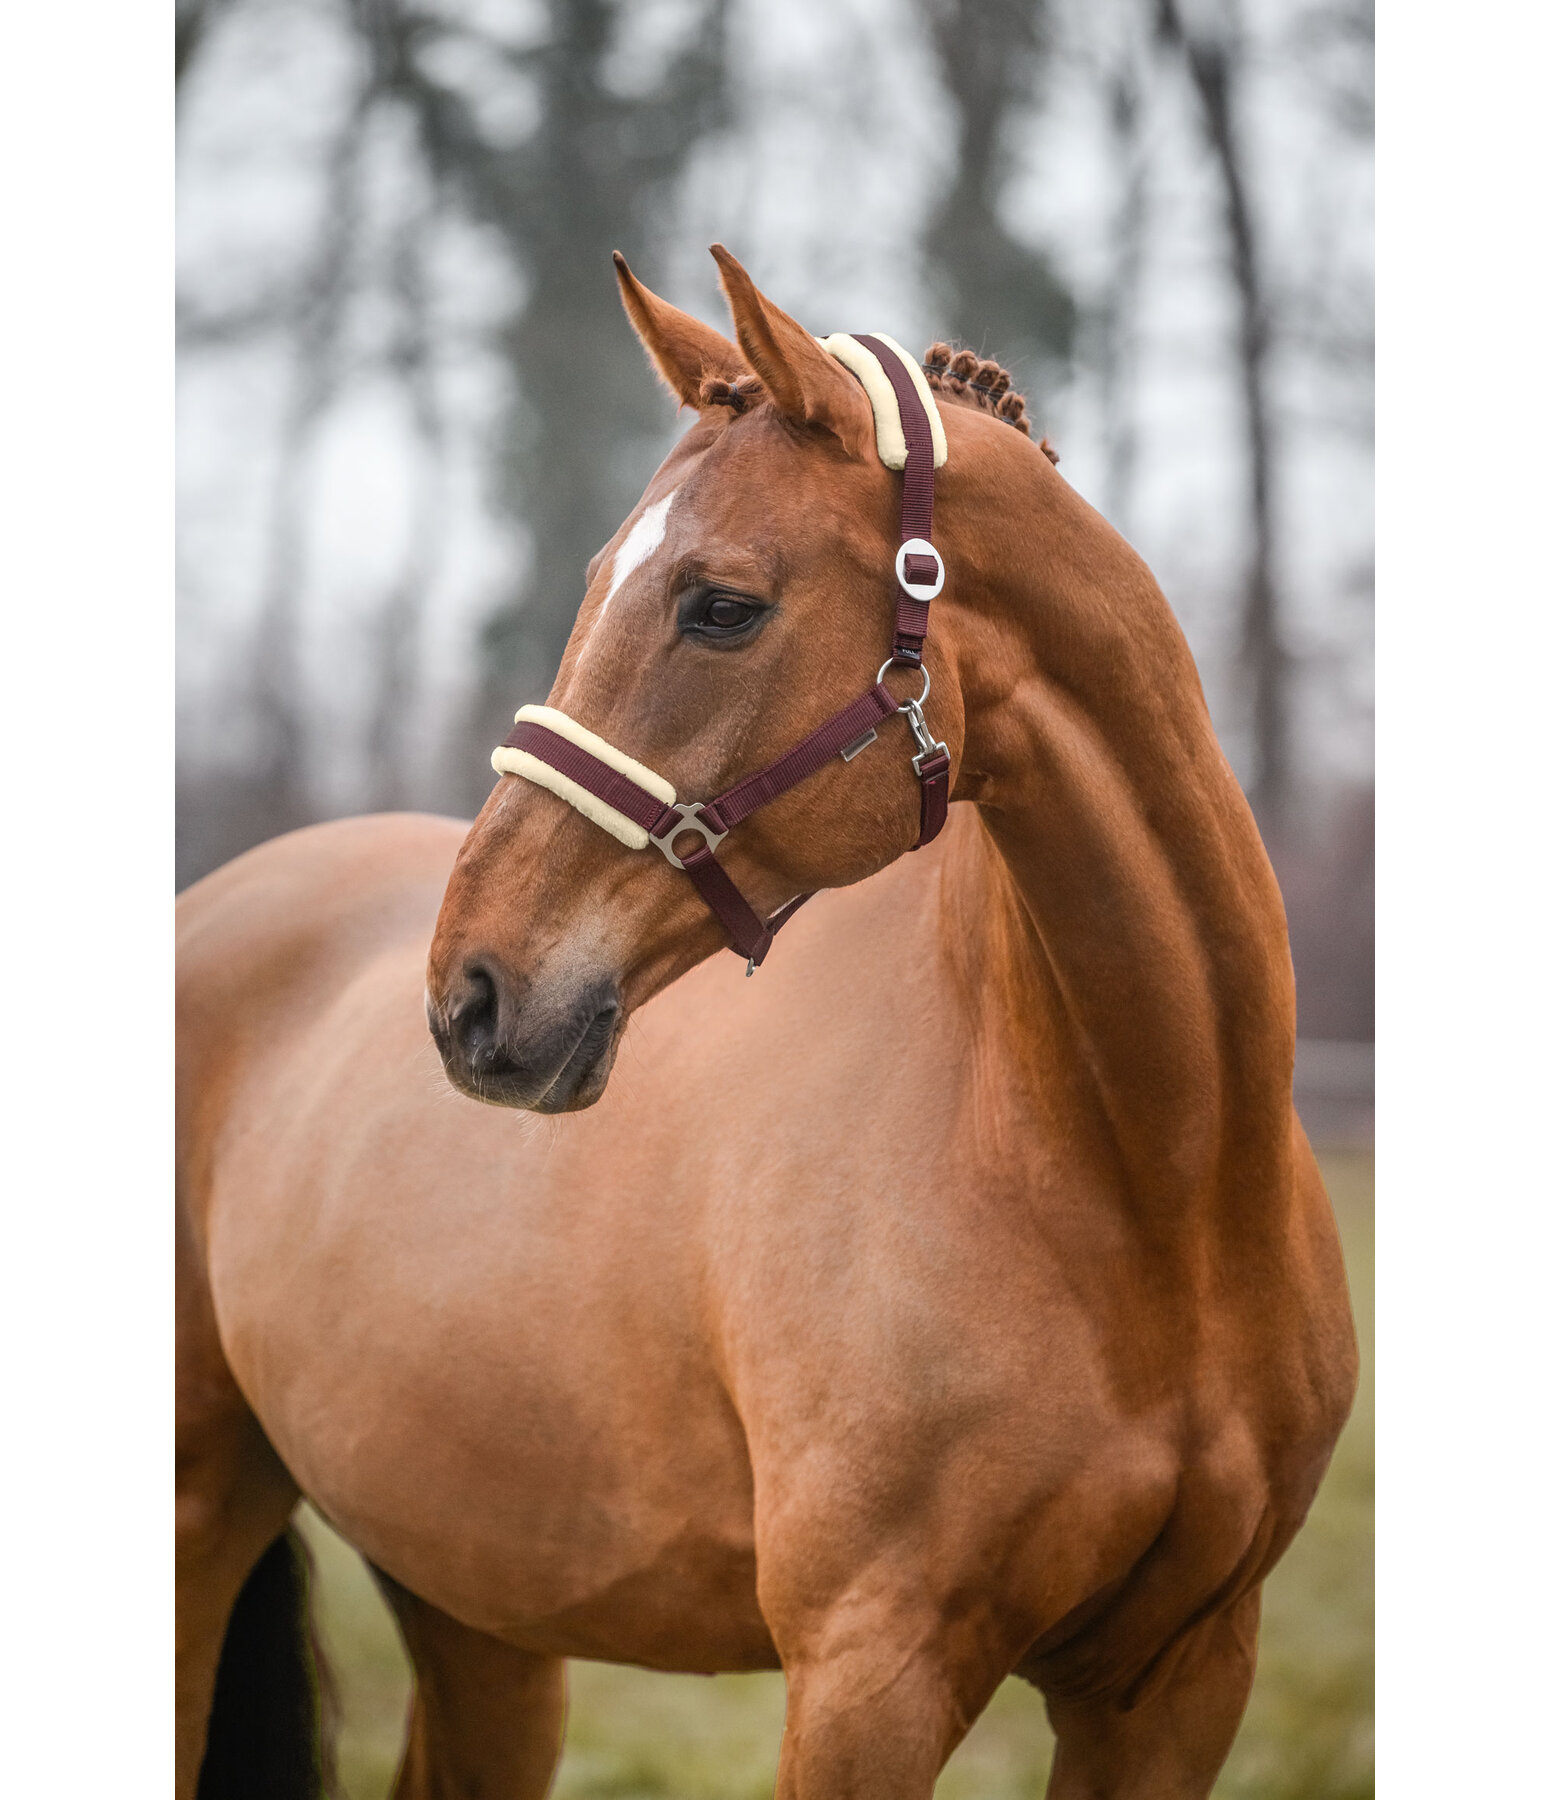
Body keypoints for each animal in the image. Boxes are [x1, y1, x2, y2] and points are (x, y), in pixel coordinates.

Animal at [171, 243, 1353, 1800]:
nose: (471, 995)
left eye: (719, 604)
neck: (1154, 1187)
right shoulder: (868, 1677)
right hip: (198, 1524)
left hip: (478, 1607)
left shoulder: (1176, 1682)